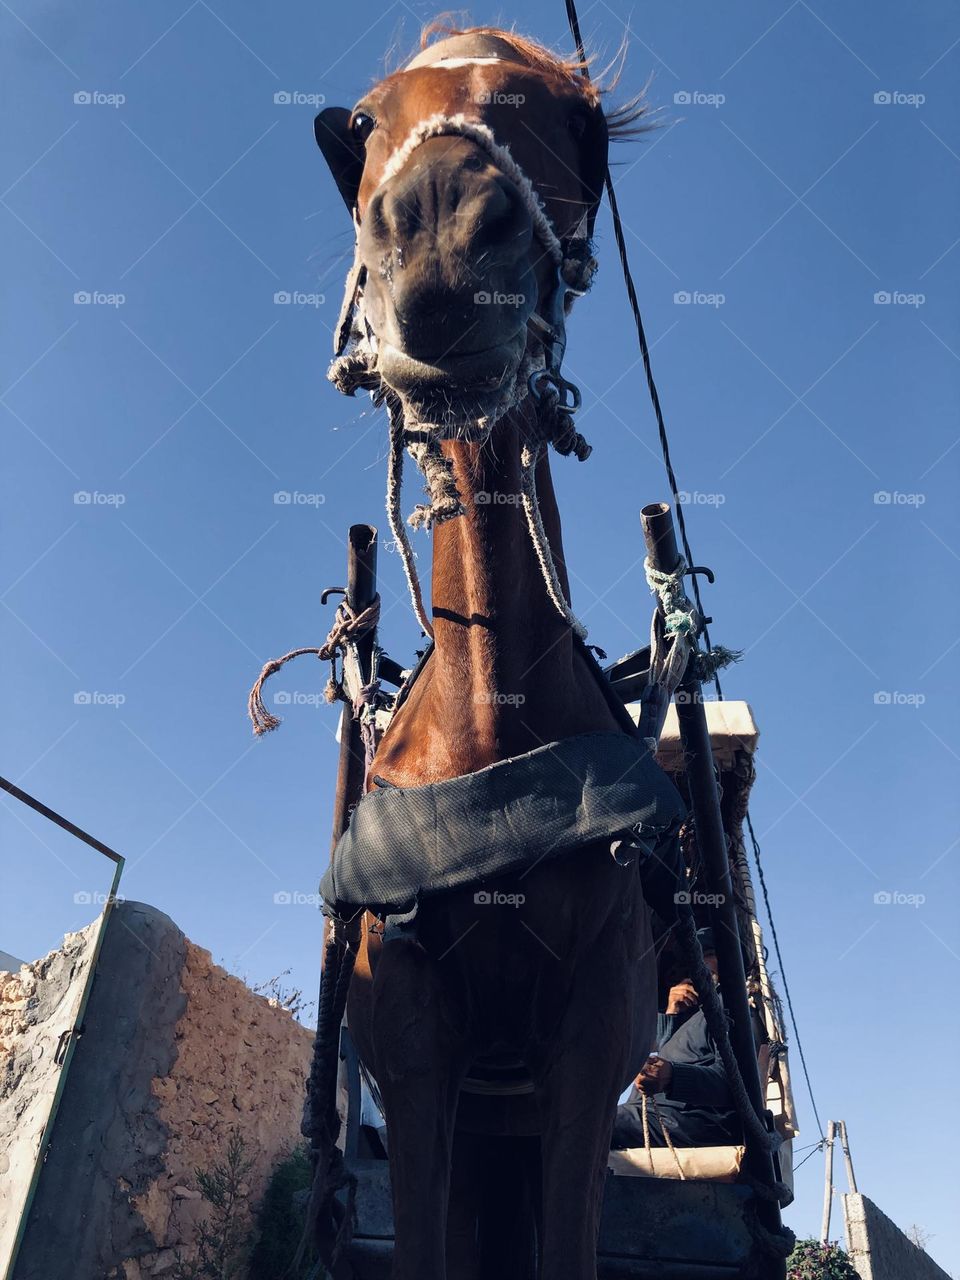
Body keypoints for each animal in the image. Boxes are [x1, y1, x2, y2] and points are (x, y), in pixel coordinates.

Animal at [316, 22, 675, 1280]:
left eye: (568, 113)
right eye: (362, 121)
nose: (438, 238)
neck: (487, 733)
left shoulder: (593, 1040)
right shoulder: (414, 1046)